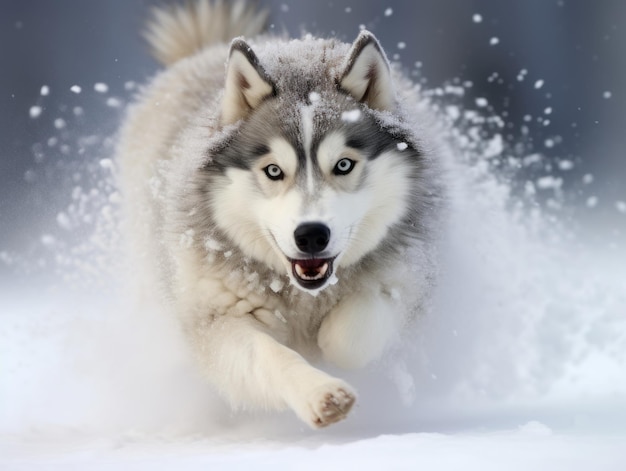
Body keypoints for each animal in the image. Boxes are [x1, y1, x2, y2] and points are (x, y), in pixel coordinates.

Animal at [116, 0, 438, 430]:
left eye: (343, 165)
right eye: (273, 170)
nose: (312, 235)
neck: (304, 295)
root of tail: (205, 50)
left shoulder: (407, 278)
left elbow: (348, 335)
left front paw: (326, 345)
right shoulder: (218, 318)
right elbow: (272, 356)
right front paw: (322, 393)